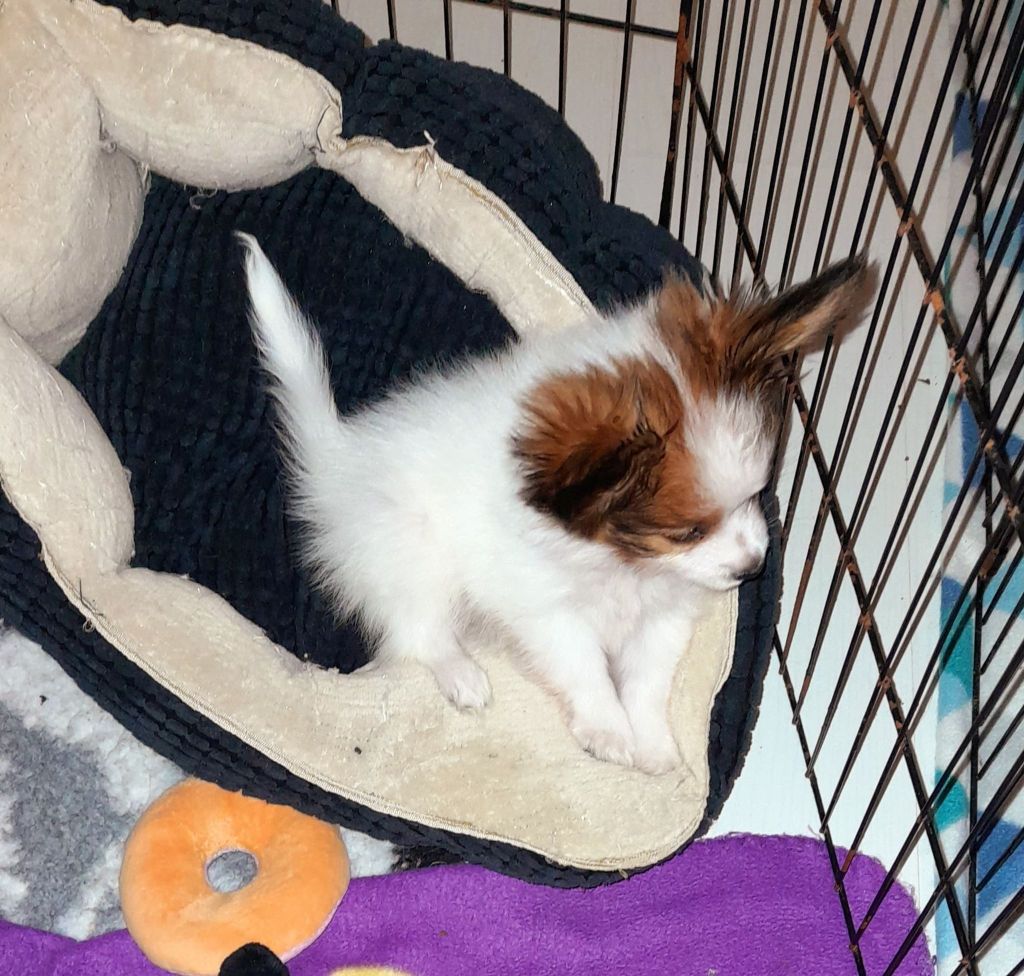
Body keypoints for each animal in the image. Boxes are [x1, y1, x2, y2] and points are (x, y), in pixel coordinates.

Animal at [238, 232, 872, 774]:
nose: (753, 566)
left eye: (757, 493)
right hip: (413, 553)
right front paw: (609, 731)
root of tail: (337, 462)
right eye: (688, 531)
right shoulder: (545, 612)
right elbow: (587, 669)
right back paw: (462, 675)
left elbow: (647, 680)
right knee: (418, 631)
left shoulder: (664, 614)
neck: (622, 563)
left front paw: (652, 744)